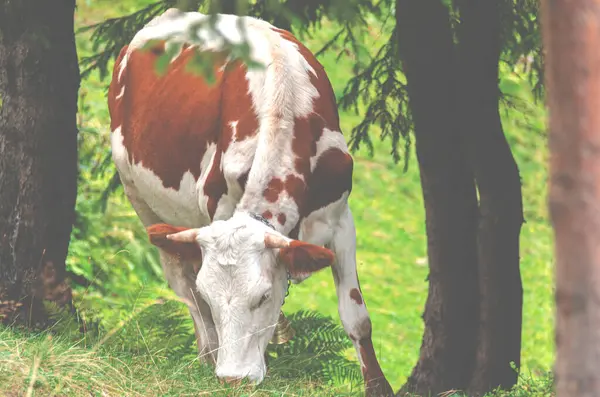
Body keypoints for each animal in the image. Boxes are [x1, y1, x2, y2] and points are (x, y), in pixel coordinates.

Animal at [108, 7, 394, 394]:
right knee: (185, 287)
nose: (233, 378)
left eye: (263, 296)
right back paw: (208, 355)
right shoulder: (216, 213)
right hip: (140, 198)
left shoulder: (340, 220)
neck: (285, 104)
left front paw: (378, 386)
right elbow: (201, 295)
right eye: (214, 298)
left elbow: (357, 318)